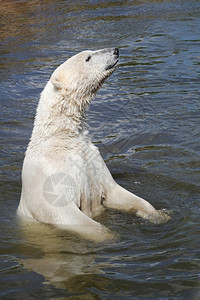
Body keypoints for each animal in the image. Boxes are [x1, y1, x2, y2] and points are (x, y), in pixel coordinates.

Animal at [18, 48, 170, 240]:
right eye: (88, 57)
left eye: (90, 52)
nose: (115, 50)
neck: (61, 138)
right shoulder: (49, 177)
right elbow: (64, 213)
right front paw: (112, 236)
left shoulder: (92, 161)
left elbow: (114, 191)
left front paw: (160, 215)